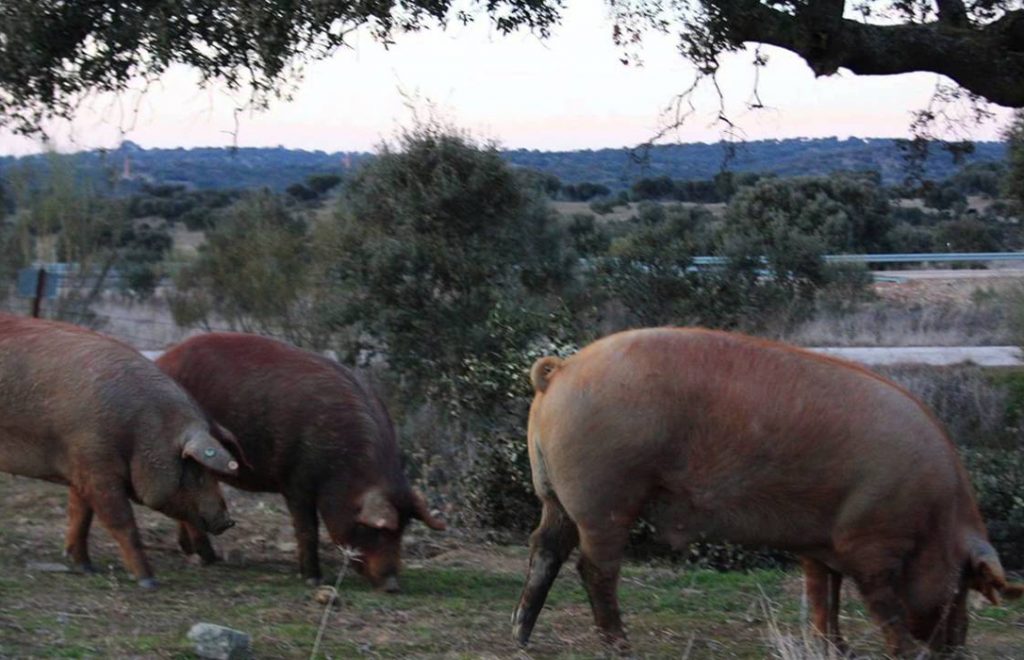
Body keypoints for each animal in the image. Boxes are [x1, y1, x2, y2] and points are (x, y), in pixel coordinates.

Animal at [0, 314, 240, 588]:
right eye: (198, 473)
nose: (228, 520)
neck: (141, 429)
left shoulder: (81, 467)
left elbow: (80, 516)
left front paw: (85, 567)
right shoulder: (97, 468)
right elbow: (121, 522)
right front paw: (148, 581)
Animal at [156, 332, 445, 591]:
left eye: (402, 531)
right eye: (375, 530)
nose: (393, 586)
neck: (345, 467)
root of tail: (162, 359)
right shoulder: (295, 481)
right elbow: (307, 529)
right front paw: (312, 579)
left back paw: (190, 552)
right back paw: (207, 559)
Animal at [513, 327, 1022, 657]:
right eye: (961, 585)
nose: (957, 648)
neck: (936, 516)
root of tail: (561, 370)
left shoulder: (821, 543)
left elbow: (823, 595)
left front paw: (836, 649)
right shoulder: (870, 543)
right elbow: (883, 604)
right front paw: (904, 653)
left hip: (553, 495)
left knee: (545, 548)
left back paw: (521, 636)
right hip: (605, 496)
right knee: (594, 569)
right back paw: (620, 646)